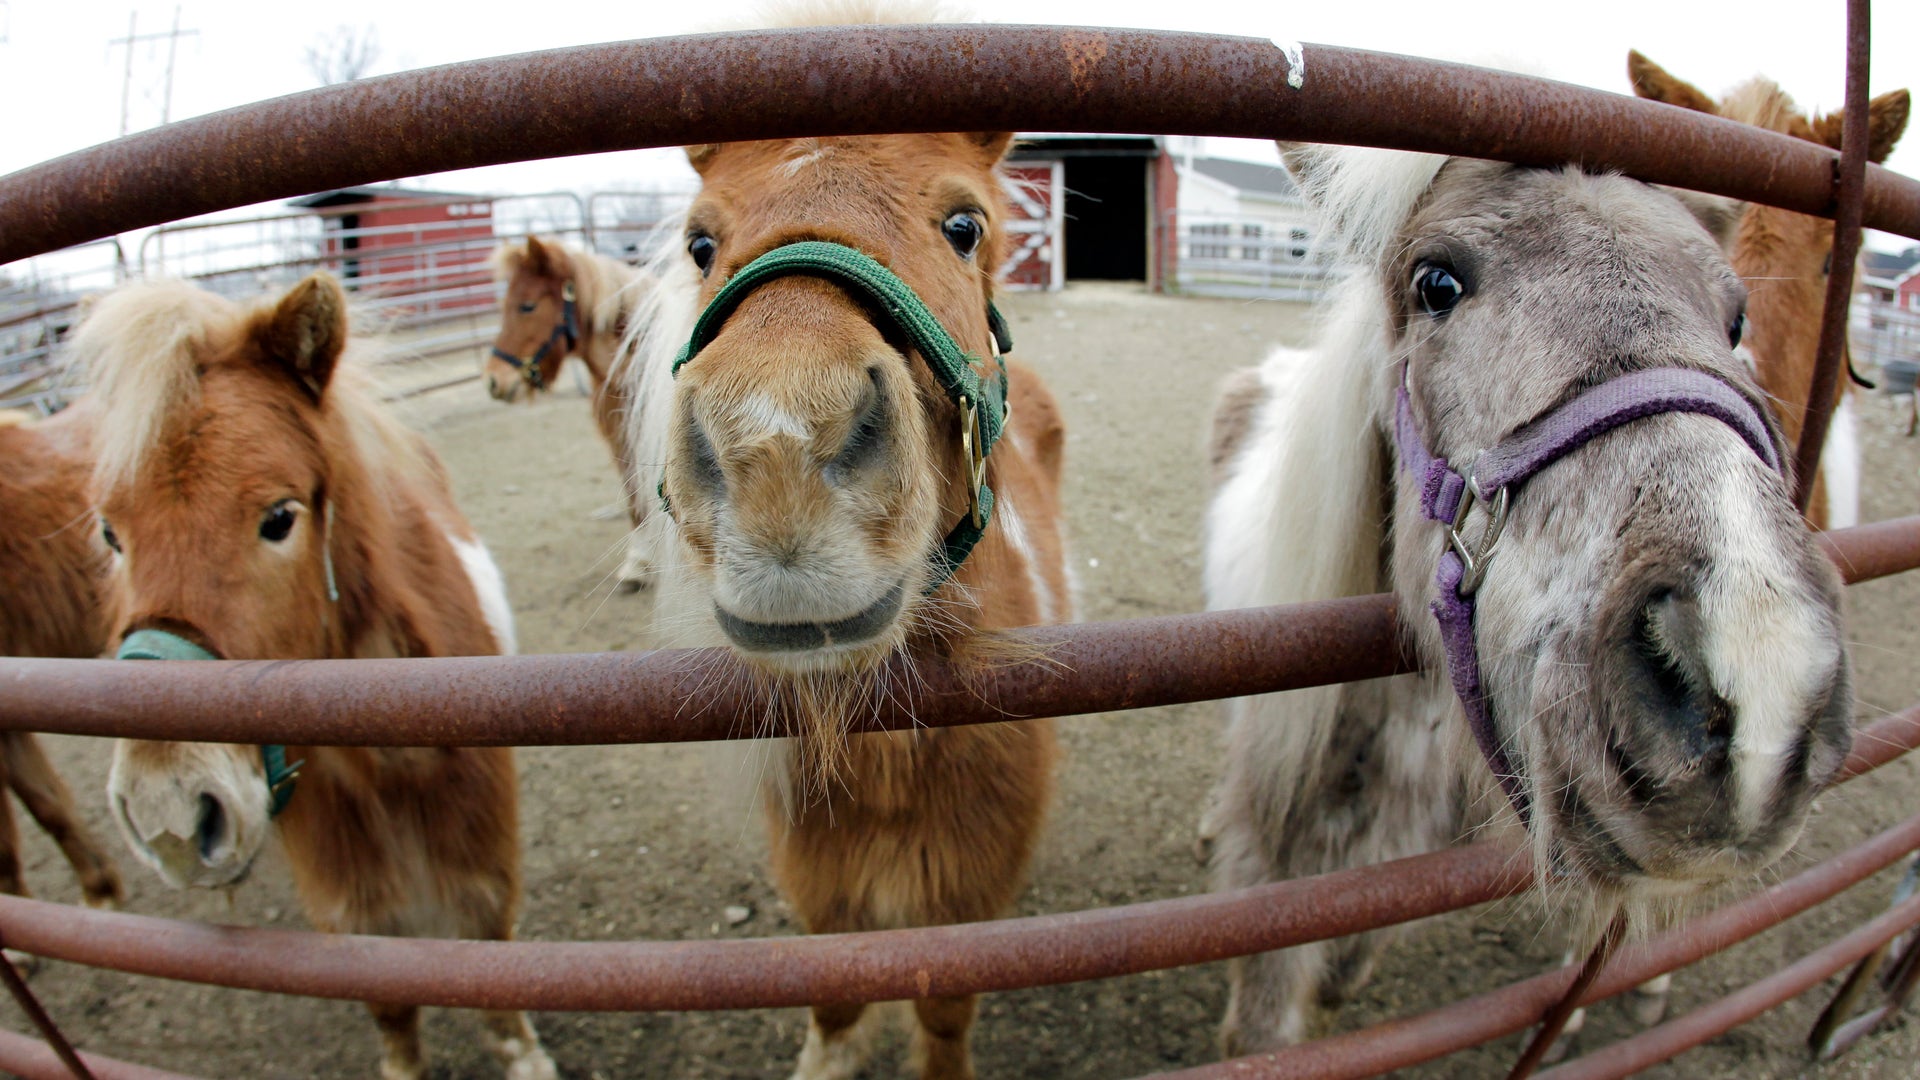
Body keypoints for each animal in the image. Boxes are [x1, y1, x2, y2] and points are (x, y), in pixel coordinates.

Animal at [83, 274, 557, 1080]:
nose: (168, 810)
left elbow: (488, 955)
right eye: (111, 532)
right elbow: (384, 997)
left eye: (279, 516)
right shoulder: (343, 884)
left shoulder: (479, 843)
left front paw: (524, 1058)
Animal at [623, 4, 1069, 1075]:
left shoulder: (967, 899)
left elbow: (943, 1015)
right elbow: (833, 989)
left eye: (964, 225)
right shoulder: (822, 887)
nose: (777, 446)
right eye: (699, 241)